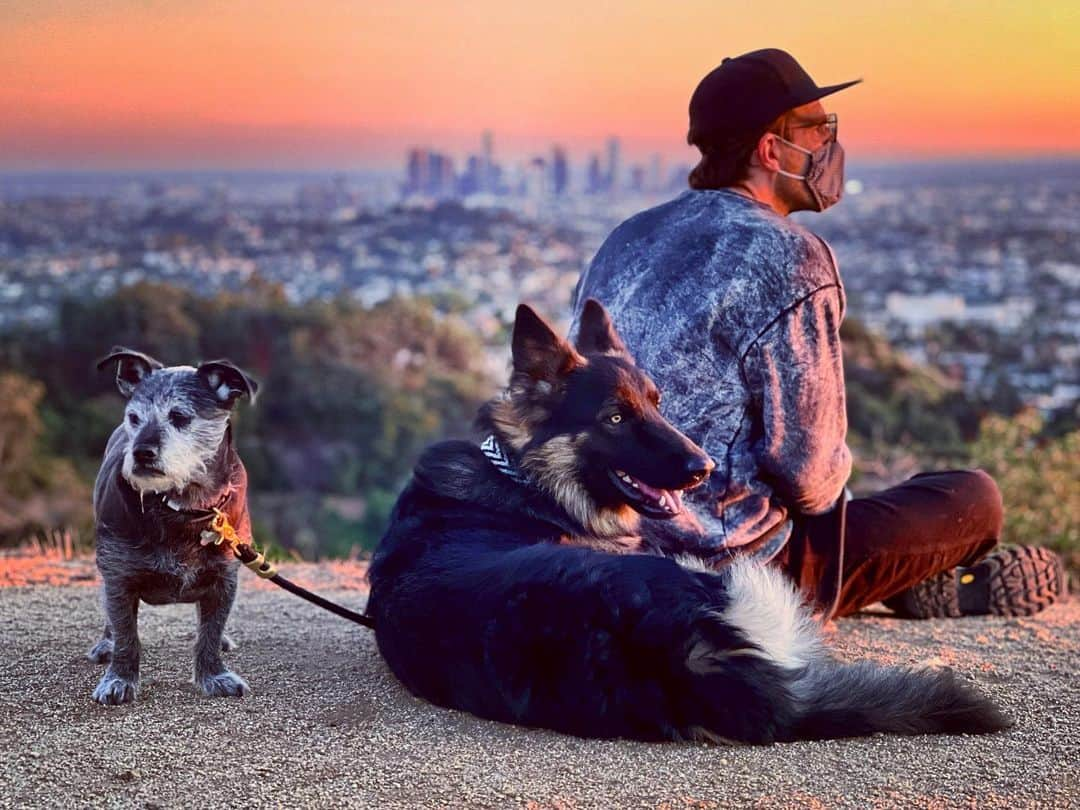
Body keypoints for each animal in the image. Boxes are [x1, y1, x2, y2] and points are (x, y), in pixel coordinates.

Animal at [88, 345, 257, 708]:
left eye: (180, 416)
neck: (182, 507)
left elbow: (210, 630)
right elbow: (126, 633)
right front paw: (119, 678)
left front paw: (214, 674)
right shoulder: (118, 575)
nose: (141, 453)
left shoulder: (225, 576)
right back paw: (106, 644)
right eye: (134, 418)